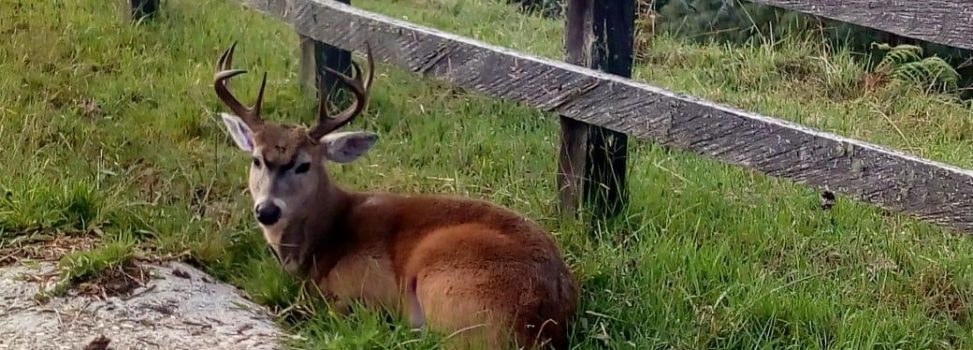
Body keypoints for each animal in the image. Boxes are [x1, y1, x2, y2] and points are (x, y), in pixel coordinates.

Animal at [211, 41, 576, 350]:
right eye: (256, 159)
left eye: (304, 165)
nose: (267, 210)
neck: (325, 236)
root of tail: (544, 318)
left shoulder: (363, 287)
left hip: (447, 284)